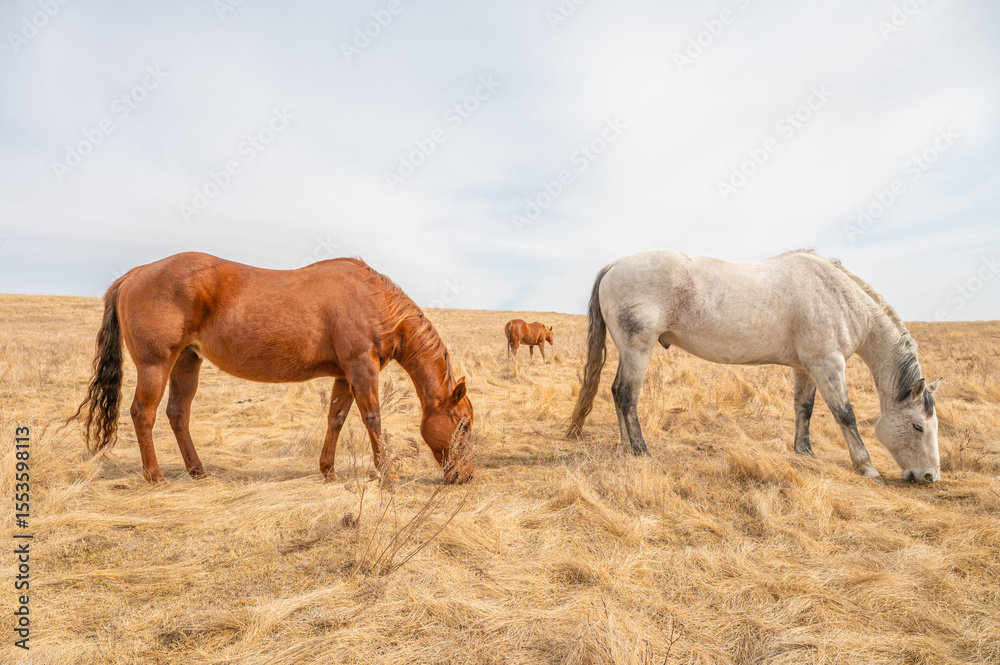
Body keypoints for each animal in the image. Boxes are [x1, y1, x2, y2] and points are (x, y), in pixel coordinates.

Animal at [69, 252, 474, 484]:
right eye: (464, 425)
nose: (467, 476)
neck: (374, 300)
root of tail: (136, 273)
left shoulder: (344, 374)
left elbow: (336, 419)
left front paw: (328, 470)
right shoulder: (362, 368)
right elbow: (372, 418)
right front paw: (386, 473)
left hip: (186, 361)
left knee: (177, 414)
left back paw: (197, 471)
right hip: (156, 364)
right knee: (144, 414)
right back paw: (154, 476)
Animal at [567, 249, 943, 484]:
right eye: (918, 427)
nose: (929, 477)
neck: (837, 295)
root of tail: (614, 265)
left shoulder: (805, 368)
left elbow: (804, 408)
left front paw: (804, 452)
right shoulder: (828, 364)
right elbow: (845, 414)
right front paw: (867, 468)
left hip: (628, 351)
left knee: (617, 393)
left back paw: (626, 447)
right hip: (637, 349)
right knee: (627, 396)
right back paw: (641, 450)